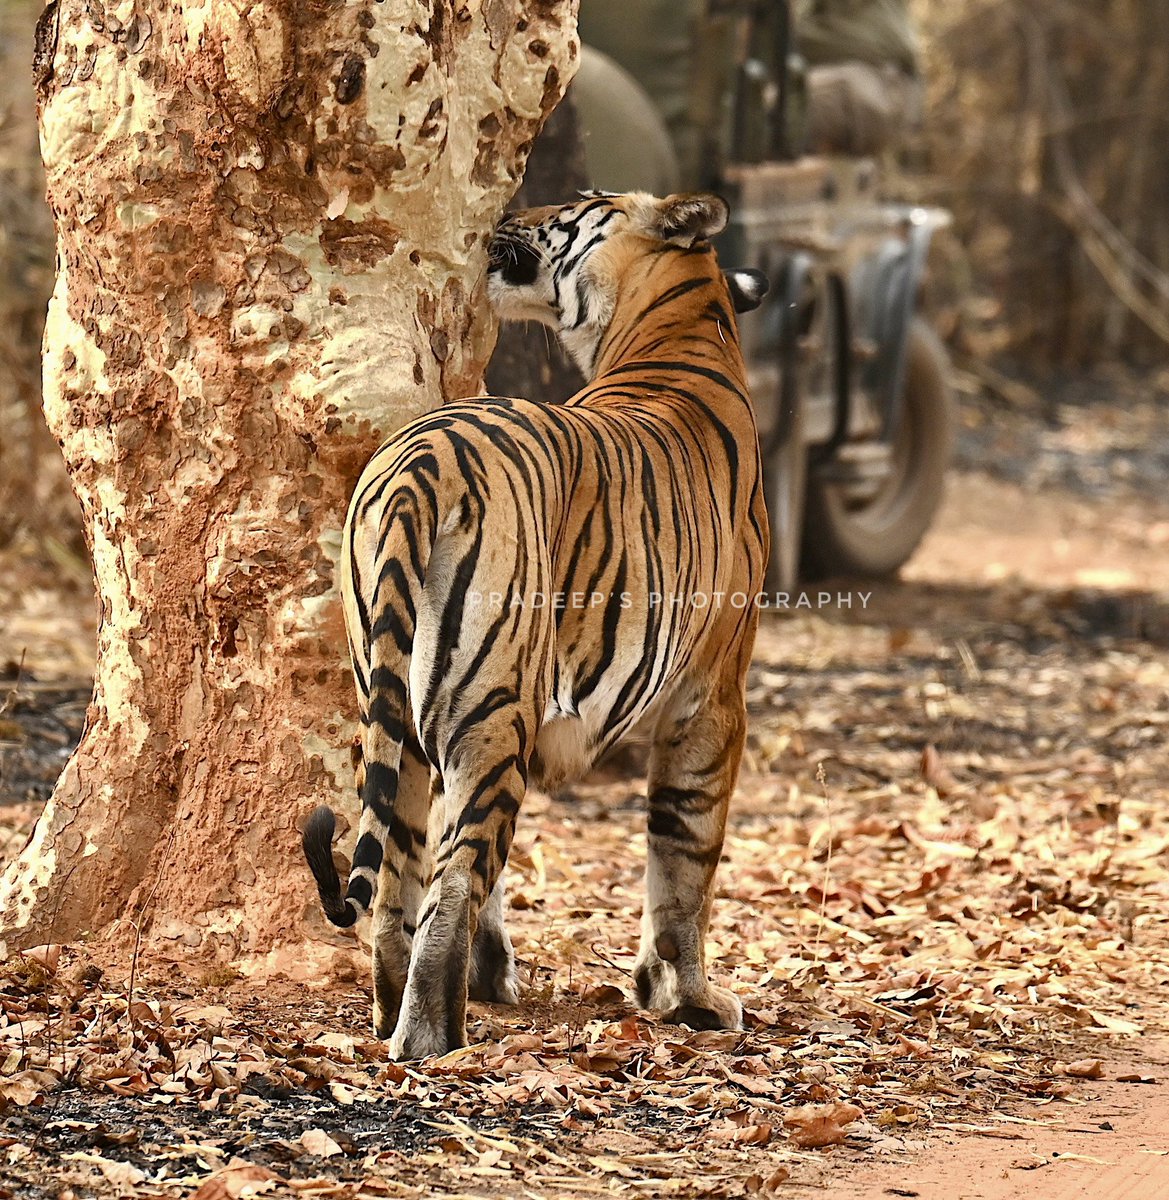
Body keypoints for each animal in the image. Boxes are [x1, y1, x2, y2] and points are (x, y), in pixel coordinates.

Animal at [306, 192, 772, 1065]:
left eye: (579, 203)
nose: (512, 212)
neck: (685, 321)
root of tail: (420, 460)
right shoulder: (711, 695)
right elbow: (685, 855)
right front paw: (687, 998)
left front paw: (499, 974)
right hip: (493, 711)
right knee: (452, 882)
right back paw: (431, 1038)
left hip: (401, 703)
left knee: (400, 875)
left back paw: (392, 1012)